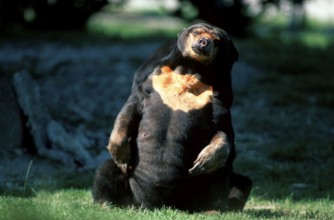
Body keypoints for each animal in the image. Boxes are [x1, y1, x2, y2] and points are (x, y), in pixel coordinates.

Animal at [92, 22, 252, 211]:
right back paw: (107, 203)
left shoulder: (219, 98)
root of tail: (161, 205)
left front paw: (206, 158)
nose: (204, 42)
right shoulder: (151, 80)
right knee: (107, 169)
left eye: (217, 40)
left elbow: (223, 130)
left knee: (222, 174)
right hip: (131, 185)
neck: (191, 69)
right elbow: (130, 109)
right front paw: (119, 150)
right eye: (197, 32)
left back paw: (212, 209)